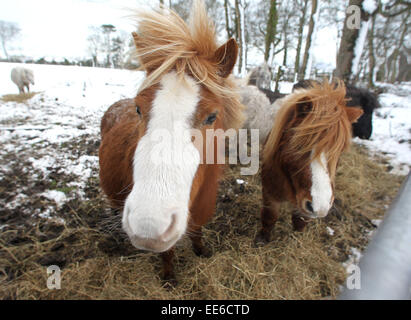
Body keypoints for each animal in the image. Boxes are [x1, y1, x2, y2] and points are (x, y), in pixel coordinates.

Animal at [98, 0, 243, 284]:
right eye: (139, 109)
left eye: (212, 116)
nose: (148, 224)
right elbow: (168, 251)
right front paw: (168, 277)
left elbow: (197, 231)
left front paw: (201, 251)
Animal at [256, 80, 366, 245]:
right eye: (299, 144)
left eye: (339, 151)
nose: (320, 206)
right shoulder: (270, 188)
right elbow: (270, 215)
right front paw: (263, 239)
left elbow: (300, 220)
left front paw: (297, 238)